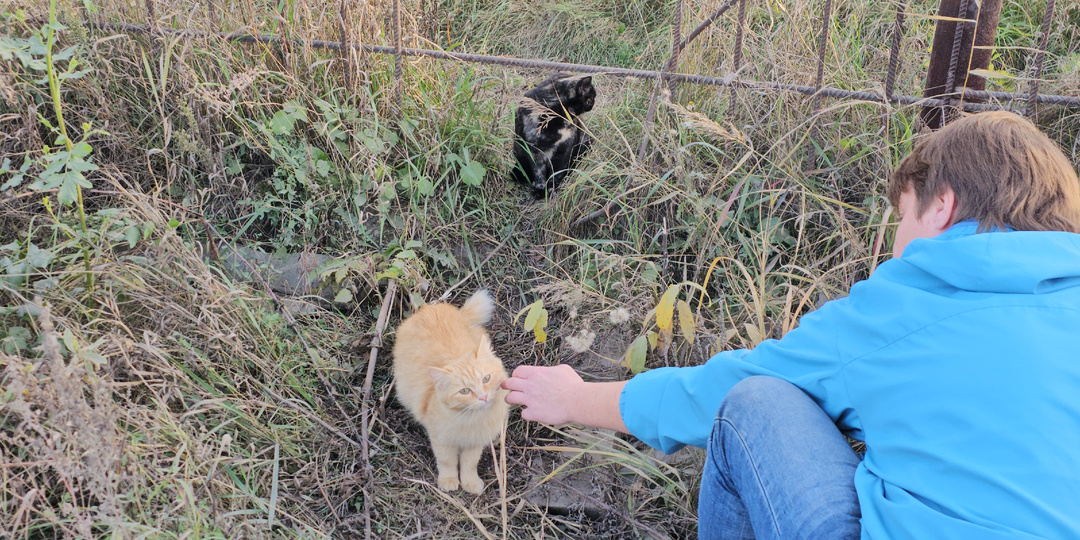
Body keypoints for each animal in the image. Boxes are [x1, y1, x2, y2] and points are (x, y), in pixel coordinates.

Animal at [390, 291, 507, 494]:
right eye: (465, 391)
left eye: (486, 379)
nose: (483, 397)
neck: (471, 420)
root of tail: (430, 308)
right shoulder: (441, 440)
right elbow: (447, 462)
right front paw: (449, 480)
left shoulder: (474, 443)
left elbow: (469, 464)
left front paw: (470, 483)